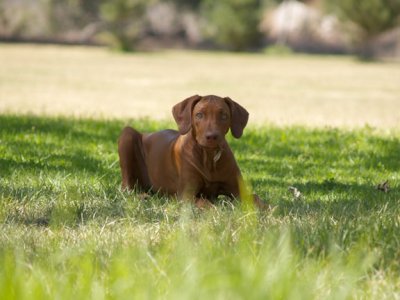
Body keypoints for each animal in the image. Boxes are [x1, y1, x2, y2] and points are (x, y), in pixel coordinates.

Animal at [117, 95, 264, 207]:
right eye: (199, 115)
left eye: (224, 116)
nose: (212, 137)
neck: (209, 157)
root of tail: (147, 134)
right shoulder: (186, 195)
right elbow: (205, 204)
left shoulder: (239, 191)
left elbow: (258, 199)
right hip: (127, 133)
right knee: (127, 188)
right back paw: (142, 196)